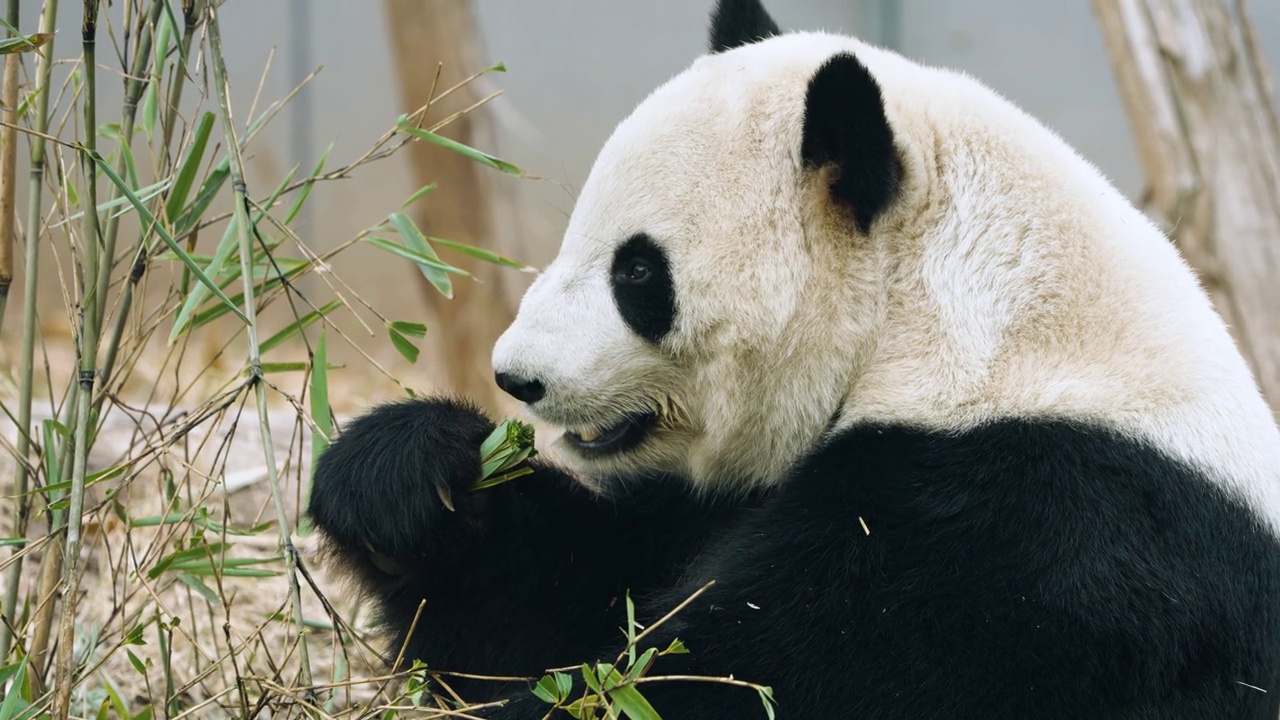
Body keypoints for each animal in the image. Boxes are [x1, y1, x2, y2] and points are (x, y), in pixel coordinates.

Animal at [309, 2, 1280, 712]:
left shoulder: (1050, 532)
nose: (517, 376)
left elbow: (758, 675)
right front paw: (408, 477)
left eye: (637, 272)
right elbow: (569, 606)